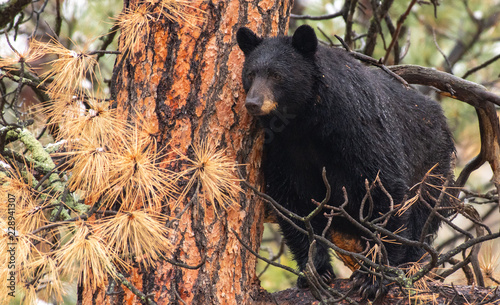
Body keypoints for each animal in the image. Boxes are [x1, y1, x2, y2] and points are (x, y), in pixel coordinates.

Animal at [236, 25, 456, 298]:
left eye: (276, 75)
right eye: (250, 73)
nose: (253, 103)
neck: (306, 121)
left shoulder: (358, 126)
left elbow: (384, 187)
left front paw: (373, 276)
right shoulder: (281, 148)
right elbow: (293, 202)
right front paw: (316, 272)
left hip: (432, 169)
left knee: (423, 216)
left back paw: (409, 265)